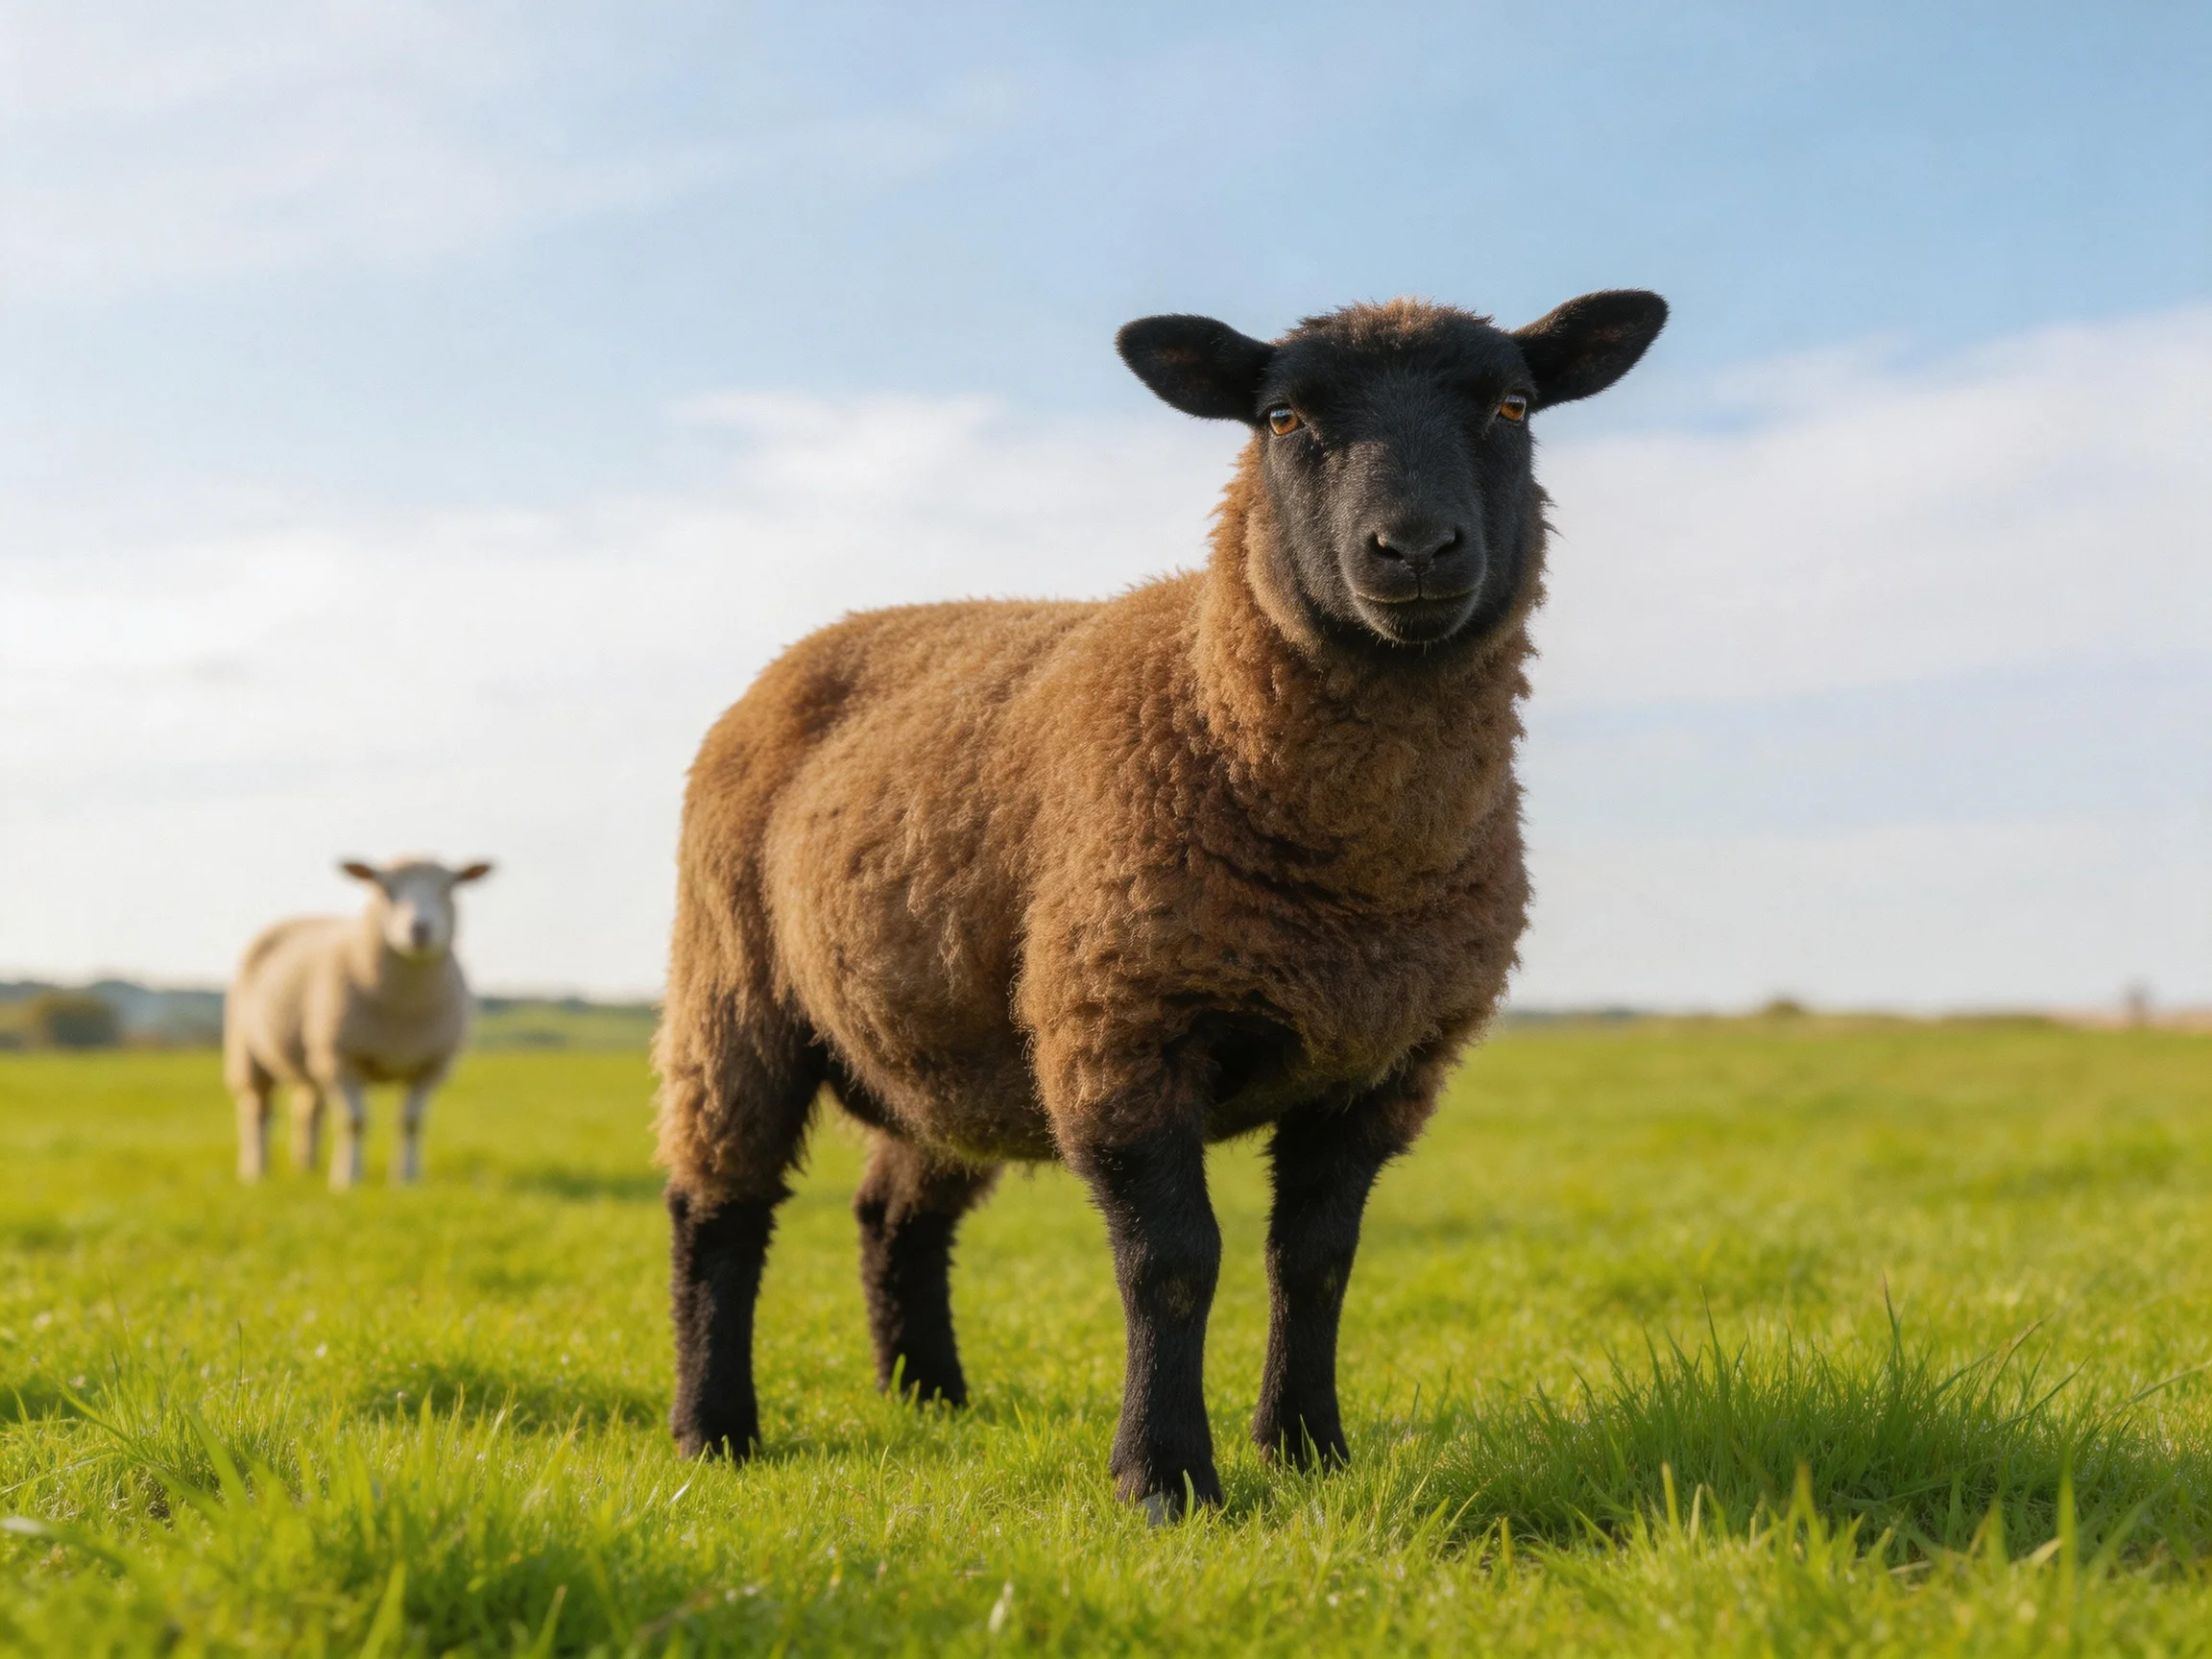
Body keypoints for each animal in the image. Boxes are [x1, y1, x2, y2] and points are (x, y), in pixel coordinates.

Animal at [226, 857, 492, 1189]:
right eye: (385, 888)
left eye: (448, 887)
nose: (419, 928)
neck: (402, 1009)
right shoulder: (342, 1059)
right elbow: (354, 1121)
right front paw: (348, 1178)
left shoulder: (431, 1066)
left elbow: (412, 1122)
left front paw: (408, 1179)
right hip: (249, 1053)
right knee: (257, 1111)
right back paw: (255, 1171)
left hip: (313, 1062)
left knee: (307, 1110)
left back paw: (306, 1166)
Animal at [654, 291, 1667, 1511]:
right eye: (1282, 416)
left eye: (1513, 406)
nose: (1416, 549)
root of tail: (811, 643)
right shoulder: (1120, 1026)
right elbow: (1174, 1261)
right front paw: (1164, 1477)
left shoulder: (1384, 1067)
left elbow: (1315, 1263)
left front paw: (1308, 1447)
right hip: (731, 985)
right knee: (719, 1207)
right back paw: (714, 1429)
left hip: (953, 1041)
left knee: (895, 1212)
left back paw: (931, 1397)